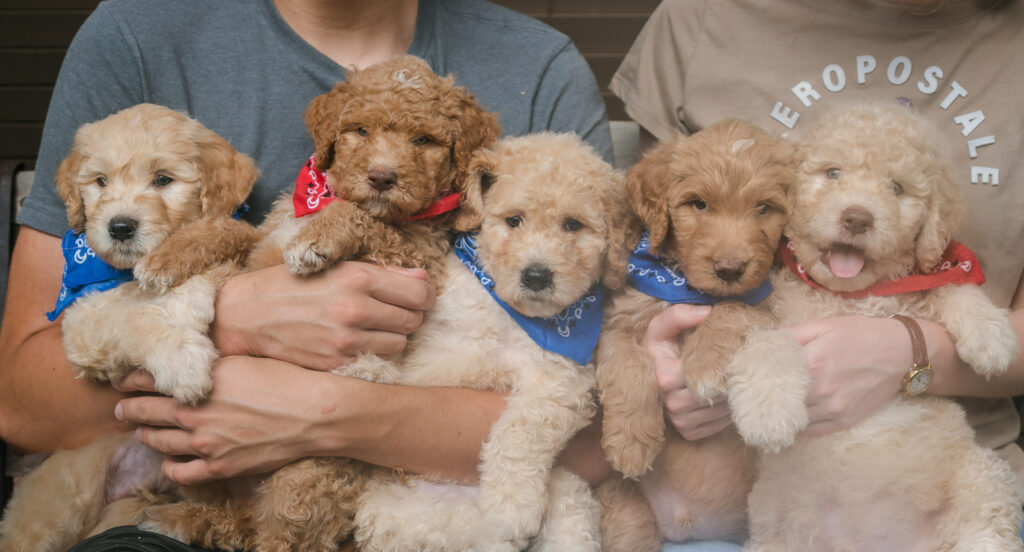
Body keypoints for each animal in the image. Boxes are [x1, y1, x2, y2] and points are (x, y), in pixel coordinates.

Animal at [0, 103, 260, 552]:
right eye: (100, 181)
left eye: (163, 180)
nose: (120, 227)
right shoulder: (83, 322)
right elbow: (132, 316)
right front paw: (181, 358)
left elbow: (221, 237)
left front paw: (183, 287)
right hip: (63, 496)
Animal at [139, 56, 499, 552]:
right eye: (360, 130)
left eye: (423, 140)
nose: (382, 177)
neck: (321, 200)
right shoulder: (262, 239)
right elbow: (228, 229)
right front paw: (166, 258)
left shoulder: (412, 260)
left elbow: (363, 217)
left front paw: (319, 240)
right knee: (228, 521)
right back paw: (180, 517)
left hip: (307, 472)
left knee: (279, 536)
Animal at [598, 118, 794, 548]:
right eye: (698, 204)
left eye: (764, 208)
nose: (730, 269)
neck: (687, 287)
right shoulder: (618, 319)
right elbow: (625, 362)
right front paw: (630, 441)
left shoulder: (771, 307)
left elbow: (733, 308)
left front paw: (705, 363)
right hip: (627, 512)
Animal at [729, 102, 1024, 552]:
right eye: (833, 173)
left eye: (897, 187)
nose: (857, 218)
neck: (851, 296)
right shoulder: (765, 308)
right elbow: (767, 341)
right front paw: (768, 411)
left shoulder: (915, 288)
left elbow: (947, 286)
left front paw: (992, 334)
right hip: (775, 524)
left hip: (980, 475)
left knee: (985, 526)